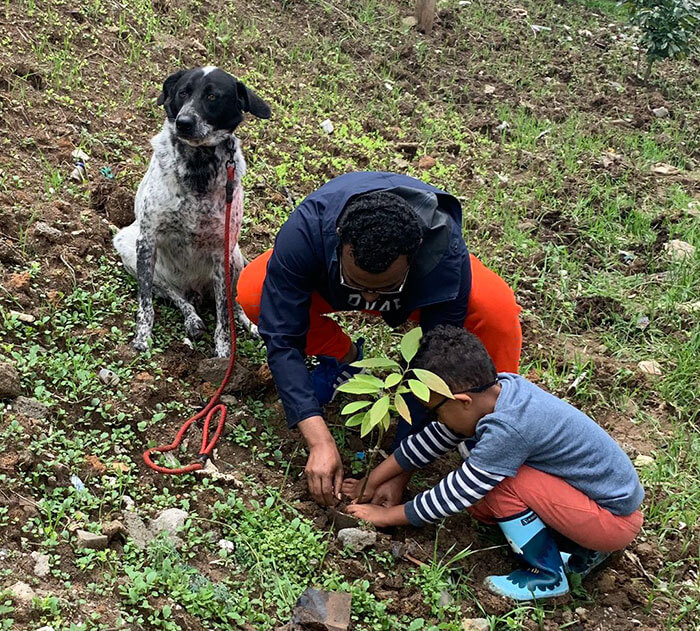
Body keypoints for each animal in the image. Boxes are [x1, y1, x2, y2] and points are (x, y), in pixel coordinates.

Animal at [113, 68, 270, 360]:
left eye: (212, 96)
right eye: (182, 92)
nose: (183, 122)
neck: (198, 163)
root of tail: (197, 290)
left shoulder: (222, 249)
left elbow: (224, 313)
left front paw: (223, 353)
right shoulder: (146, 240)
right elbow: (145, 303)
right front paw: (143, 337)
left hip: (236, 257)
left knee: (232, 302)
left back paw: (249, 324)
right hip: (128, 248)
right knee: (177, 296)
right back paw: (193, 318)